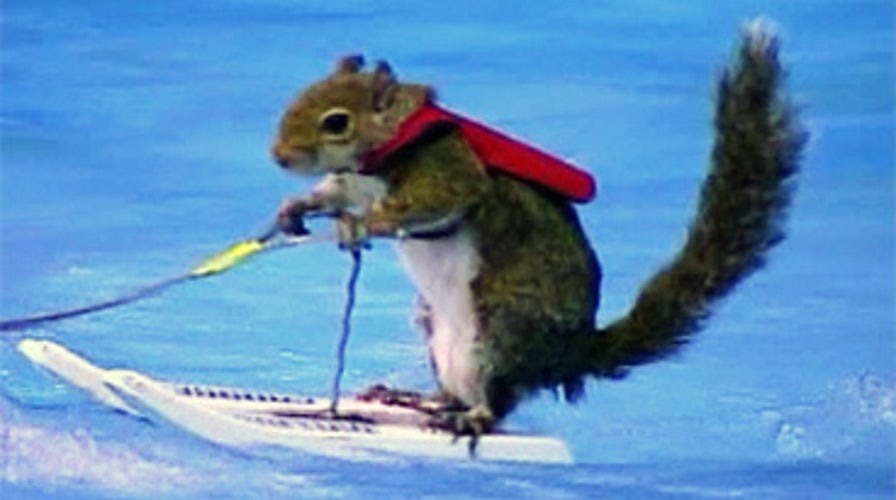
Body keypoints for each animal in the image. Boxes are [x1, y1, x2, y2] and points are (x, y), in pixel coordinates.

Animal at [271, 22, 805, 444]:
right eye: (298, 96)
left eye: (336, 122)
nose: (278, 156)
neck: (385, 145)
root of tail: (565, 356)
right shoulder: (351, 183)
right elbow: (328, 193)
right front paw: (293, 208)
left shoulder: (446, 169)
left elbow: (434, 202)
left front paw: (358, 224)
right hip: (434, 328)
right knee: (452, 392)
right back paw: (412, 398)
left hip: (501, 329)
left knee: (497, 399)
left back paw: (470, 418)